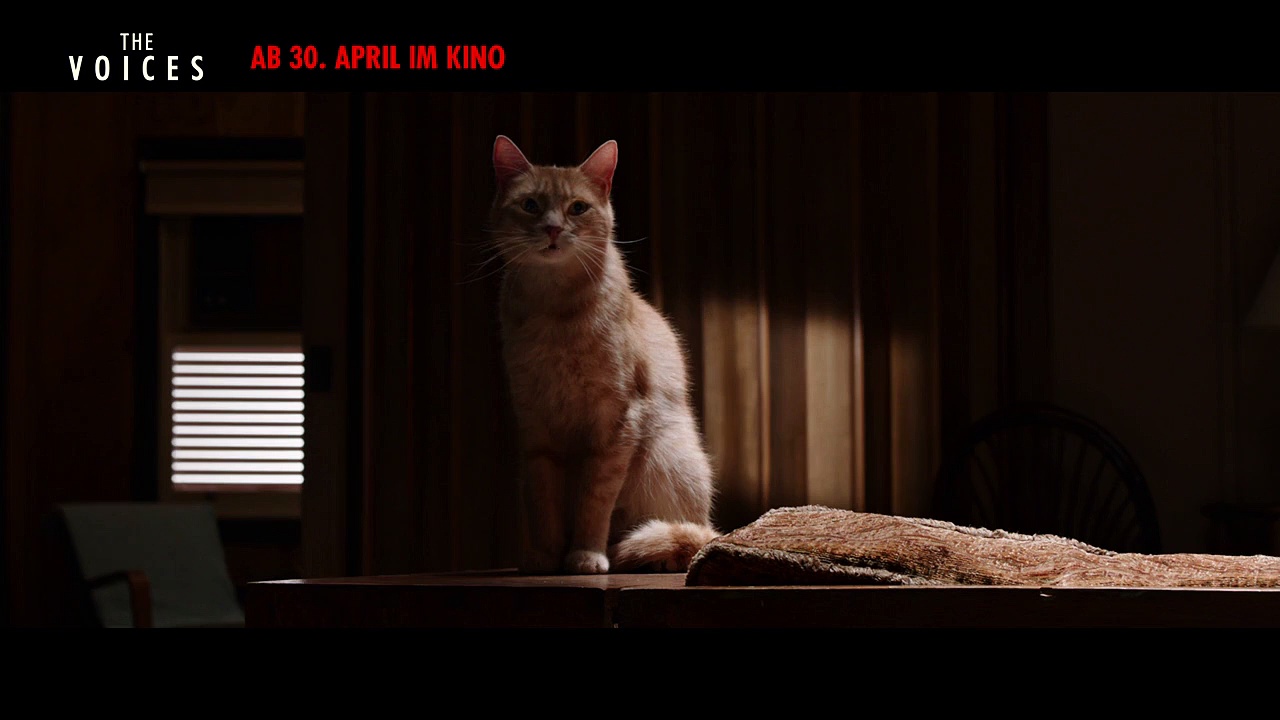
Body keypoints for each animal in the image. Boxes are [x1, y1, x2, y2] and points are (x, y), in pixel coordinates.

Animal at [489, 134, 720, 575]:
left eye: (578, 207)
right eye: (531, 205)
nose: (553, 228)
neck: (554, 311)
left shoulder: (617, 421)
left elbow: (595, 501)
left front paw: (586, 554)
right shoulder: (535, 427)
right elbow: (544, 503)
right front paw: (546, 556)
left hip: (671, 456)